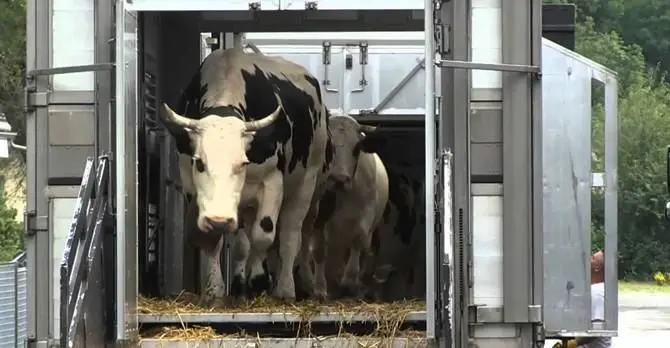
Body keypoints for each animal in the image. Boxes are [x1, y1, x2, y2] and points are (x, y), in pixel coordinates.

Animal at [160, 47, 334, 304]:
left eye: (242, 163)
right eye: (199, 162)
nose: (219, 219)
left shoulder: (273, 182)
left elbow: (264, 235)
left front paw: (260, 281)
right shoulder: (191, 184)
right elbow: (215, 239)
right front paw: (215, 291)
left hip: (307, 184)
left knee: (290, 236)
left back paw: (284, 288)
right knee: (245, 243)